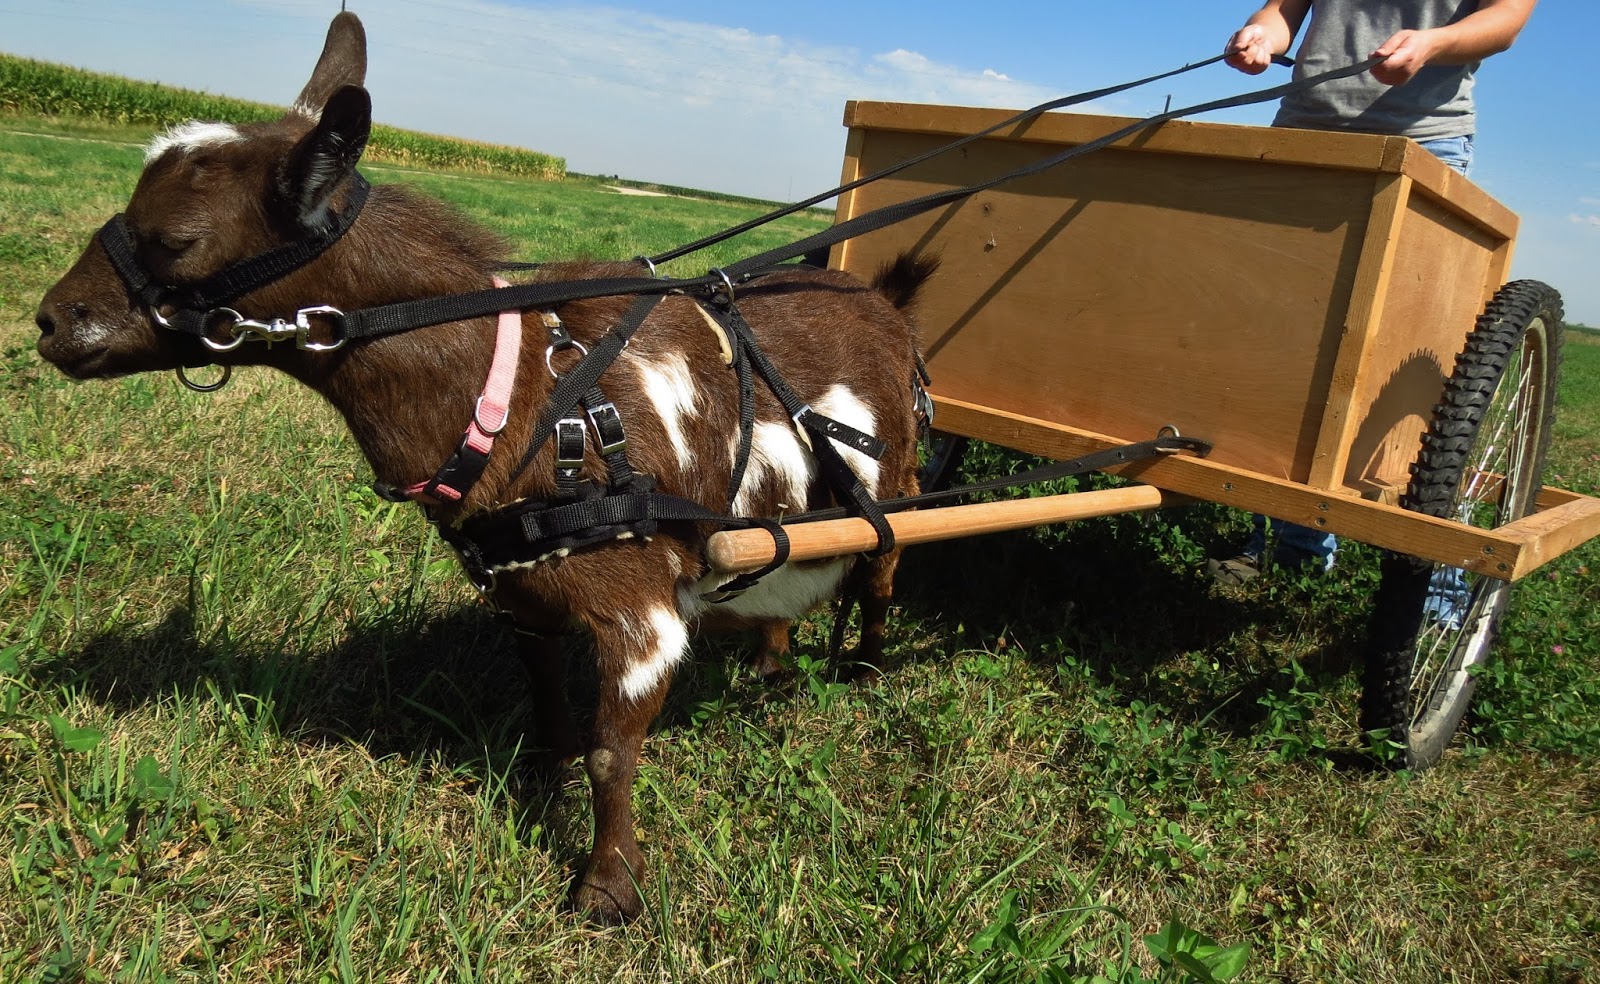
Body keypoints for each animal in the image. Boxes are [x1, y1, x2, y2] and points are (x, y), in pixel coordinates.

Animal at [34, 12, 932, 923]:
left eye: (177, 241)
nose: (50, 322)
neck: (533, 391)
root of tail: (885, 305)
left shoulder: (640, 609)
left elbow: (613, 754)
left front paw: (608, 888)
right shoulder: (522, 592)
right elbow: (548, 703)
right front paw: (547, 772)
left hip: (897, 487)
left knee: (883, 573)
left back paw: (864, 666)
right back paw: (772, 663)